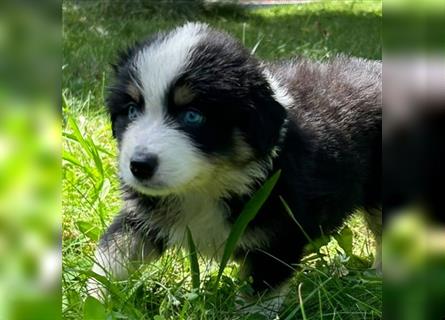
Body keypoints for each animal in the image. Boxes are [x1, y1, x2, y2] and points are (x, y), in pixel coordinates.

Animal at [87, 21, 382, 308]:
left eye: (193, 116)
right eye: (131, 111)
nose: (139, 166)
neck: (209, 185)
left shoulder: (278, 238)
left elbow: (259, 297)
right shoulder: (142, 215)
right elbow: (112, 254)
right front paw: (91, 299)